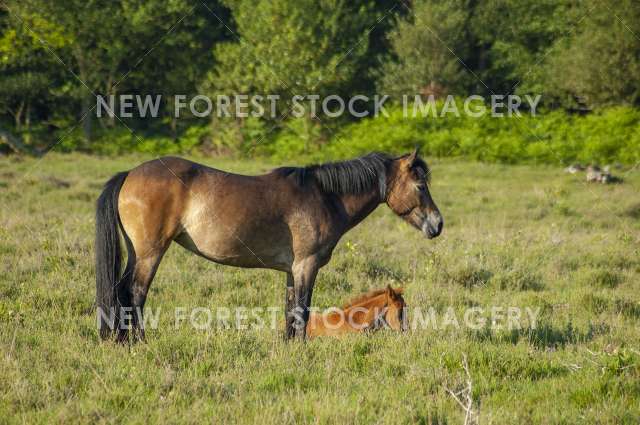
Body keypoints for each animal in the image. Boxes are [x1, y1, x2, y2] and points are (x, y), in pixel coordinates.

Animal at [95, 148, 443, 341]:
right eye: (420, 185)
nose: (437, 225)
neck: (324, 196)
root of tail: (129, 174)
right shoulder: (307, 265)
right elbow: (302, 308)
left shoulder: (292, 270)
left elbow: (291, 310)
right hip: (150, 253)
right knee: (136, 293)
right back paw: (140, 341)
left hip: (136, 253)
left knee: (120, 291)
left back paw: (122, 340)